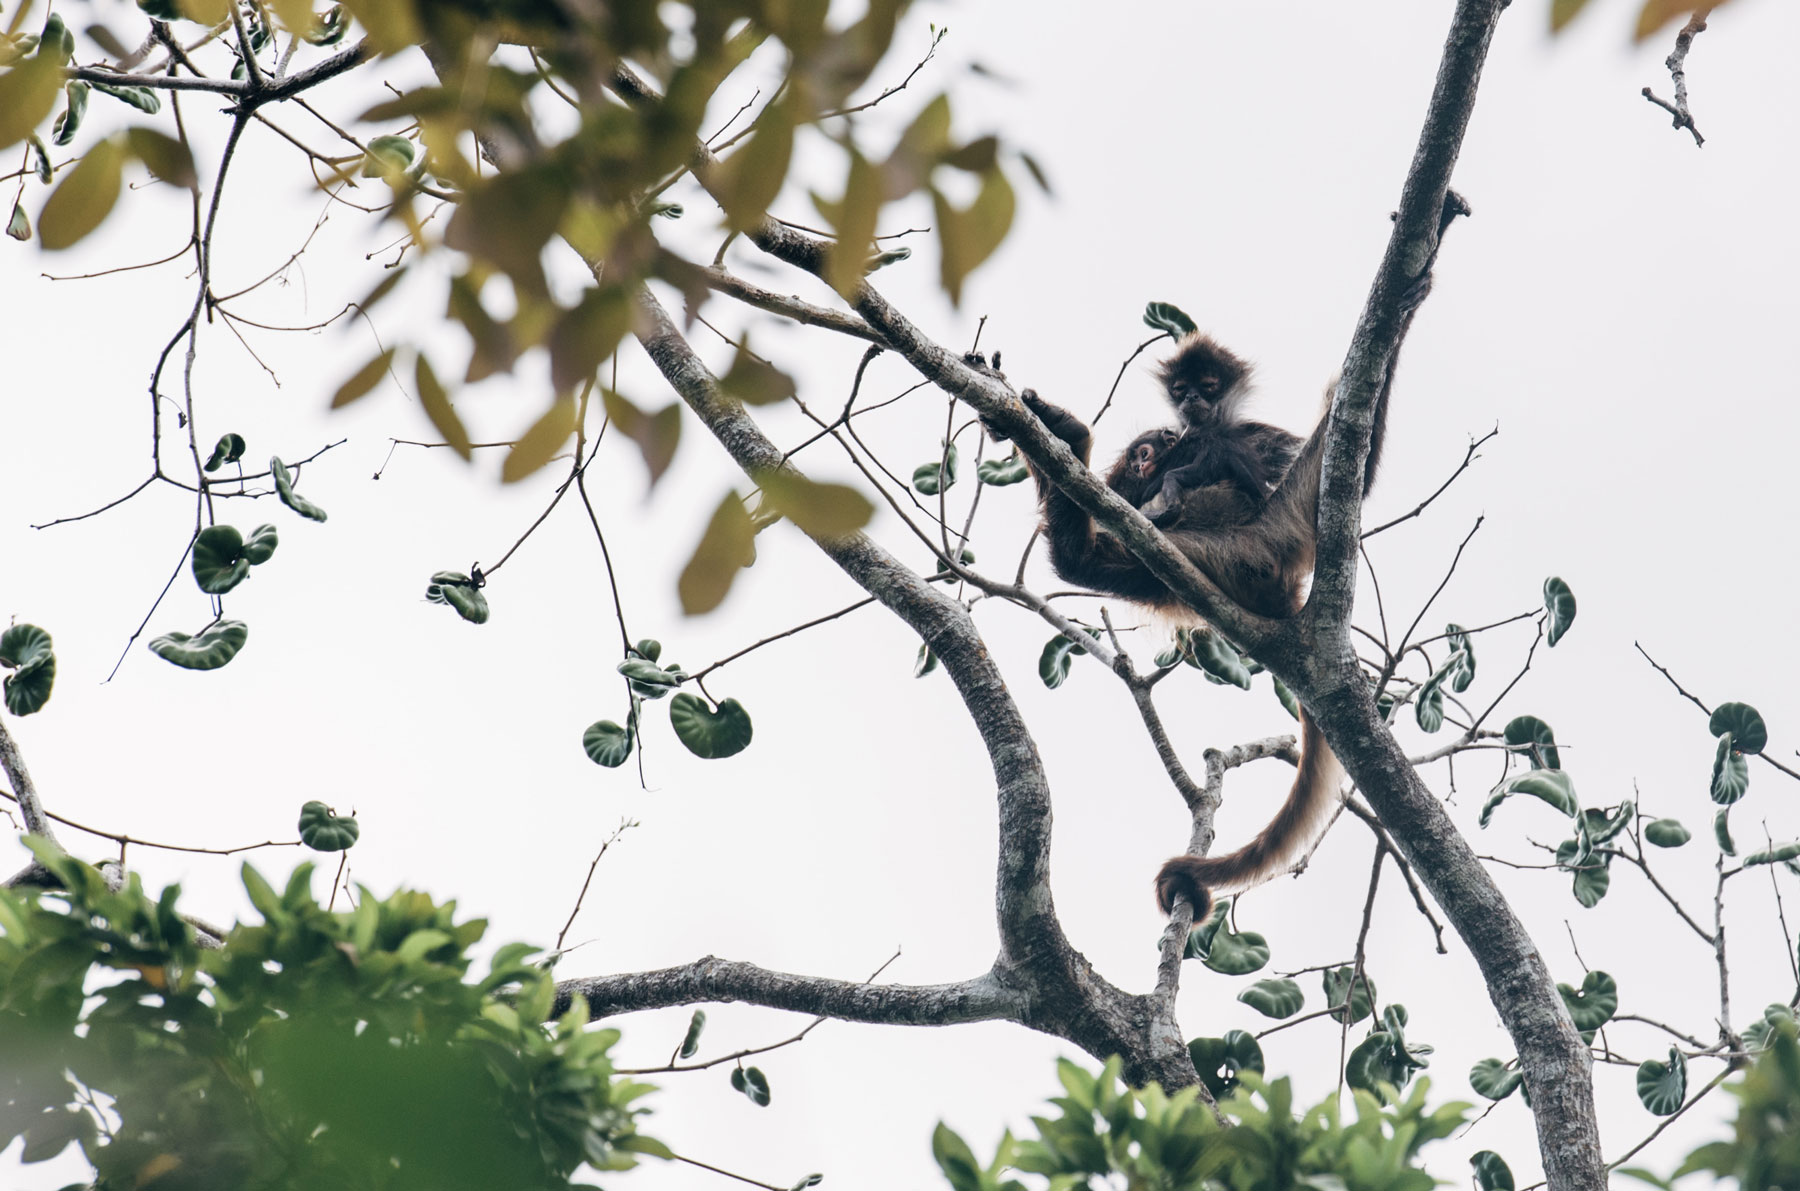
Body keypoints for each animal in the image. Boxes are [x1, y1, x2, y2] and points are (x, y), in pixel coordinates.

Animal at [993, 191, 1468, 928]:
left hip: (1265, 530)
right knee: (1089, 561)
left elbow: (1333, 475)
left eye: (1209, 383)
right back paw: (1080, 455)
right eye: (1185, 387)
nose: (1190, 406)